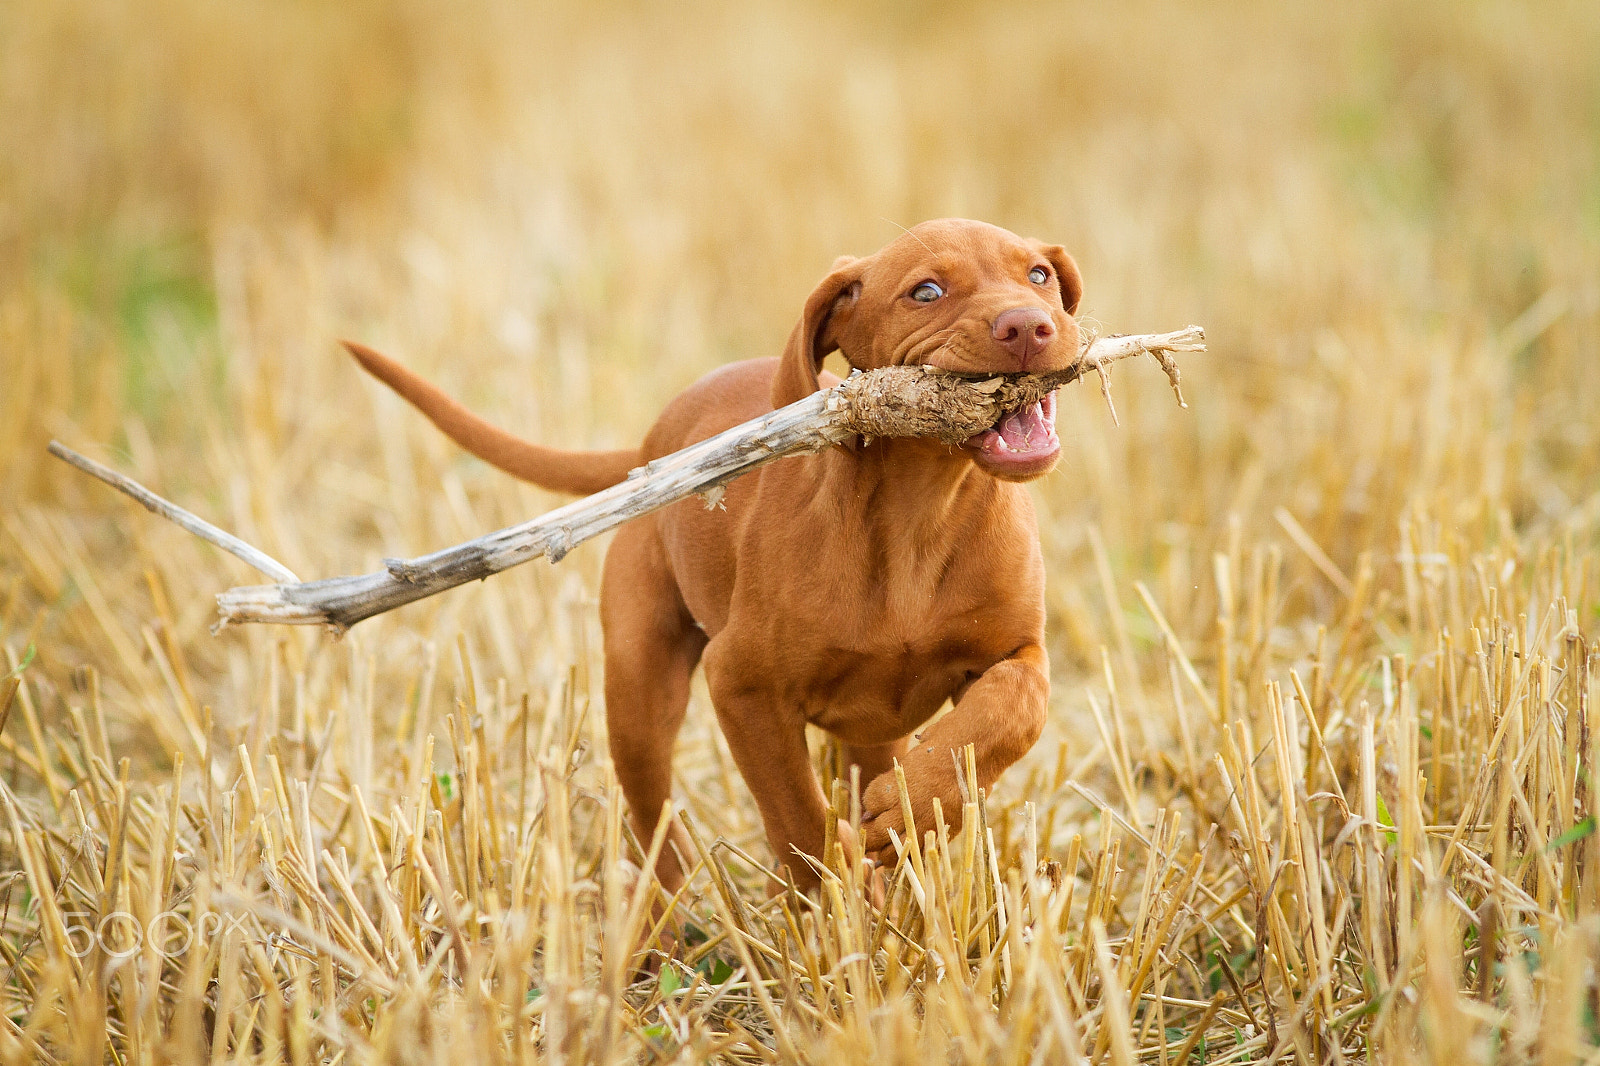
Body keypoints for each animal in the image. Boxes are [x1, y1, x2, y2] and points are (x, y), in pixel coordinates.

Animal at [344, 216, 1081, 889]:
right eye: (926, 291)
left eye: (1038, 276)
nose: (1028, 327)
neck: (919, 512)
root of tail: (652, 446)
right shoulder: (743, 684)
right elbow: (795, 817)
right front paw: (835, 894)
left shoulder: (1019, 651)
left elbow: (1013, 710)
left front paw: (914, 808)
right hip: (639, 685)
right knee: (651, 819)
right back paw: (668, 921)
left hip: (868, 729)